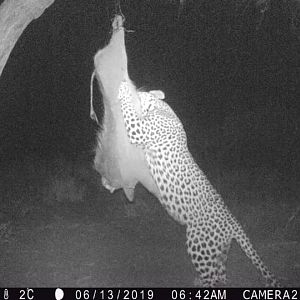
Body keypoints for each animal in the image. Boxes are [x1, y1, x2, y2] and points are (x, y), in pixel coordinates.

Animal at [116, 78, 278, 288]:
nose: (134, 86)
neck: (162, 107)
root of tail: (232, 221)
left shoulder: (139, 129)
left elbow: (129, 111)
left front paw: (123, 89)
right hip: (217, 251)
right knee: (220, 276)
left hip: (199, 245)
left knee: (211, 277)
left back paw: (200, 283)